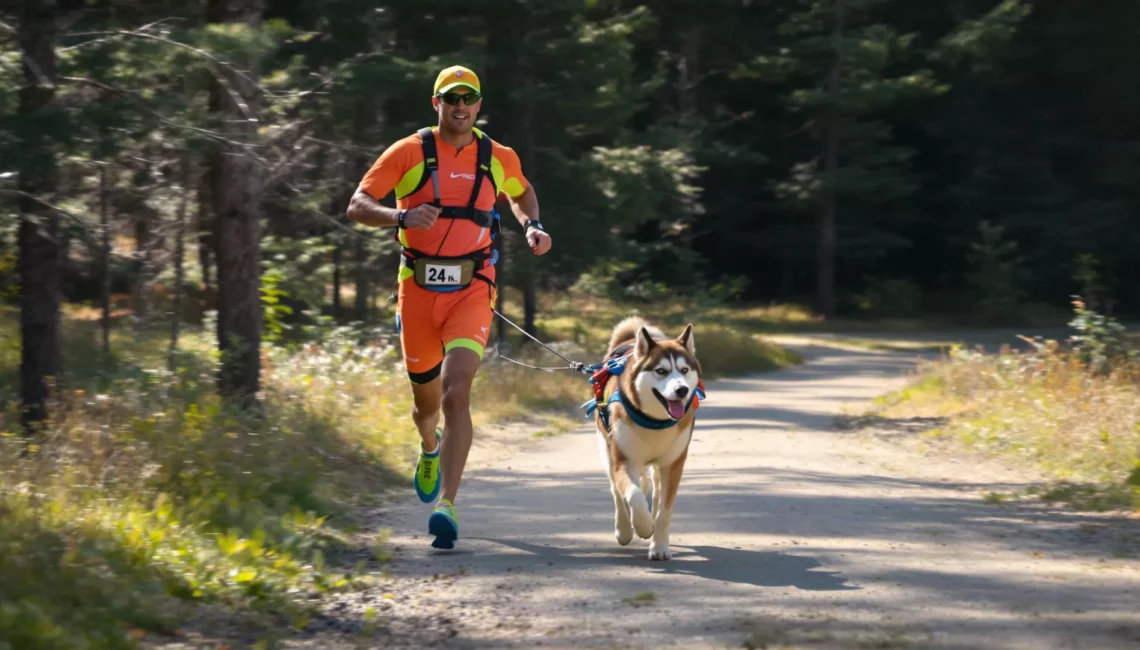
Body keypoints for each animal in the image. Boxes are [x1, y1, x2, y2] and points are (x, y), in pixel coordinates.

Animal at [592, 314, 697, 556]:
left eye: (684, 370)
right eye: (661, 371)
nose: (682, 390)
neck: (655, 422)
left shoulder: (673, 464)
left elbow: (664, 510)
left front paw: (659, 546)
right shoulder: (623, 460)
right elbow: (633, 496)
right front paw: (643, 526)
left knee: (655, 492)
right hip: (607, 451)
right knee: (617, 492)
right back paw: (623, 530)